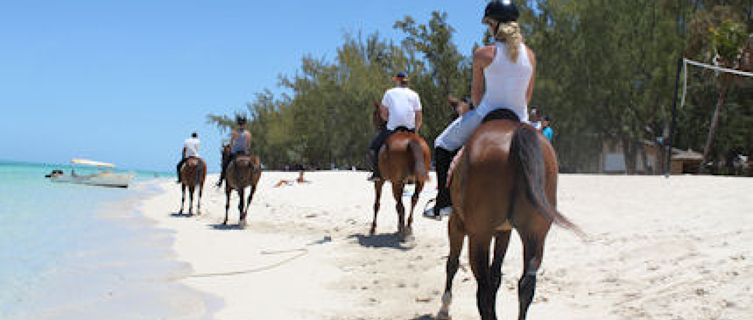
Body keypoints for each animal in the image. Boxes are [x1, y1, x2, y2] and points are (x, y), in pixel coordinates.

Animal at [368, 104, 428, 241]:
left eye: (375, 113)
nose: (375, 125)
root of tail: (410, 140)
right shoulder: (402, 183)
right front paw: (399, 225)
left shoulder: (380, 182)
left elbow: (377, 204)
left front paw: (373, 227)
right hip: (419, 182)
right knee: (413, 199)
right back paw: (408, 226)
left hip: (396, 183)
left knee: (401, 205)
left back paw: (403, 230)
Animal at [434, 106, 580, 318]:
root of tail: (517, 134)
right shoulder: (504, 232)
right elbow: (496, 276)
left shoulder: (456, 224)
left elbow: (452, 264)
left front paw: (444, 307)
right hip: (535, 233)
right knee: (525, 284)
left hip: (479, 235)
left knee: (482, 288)